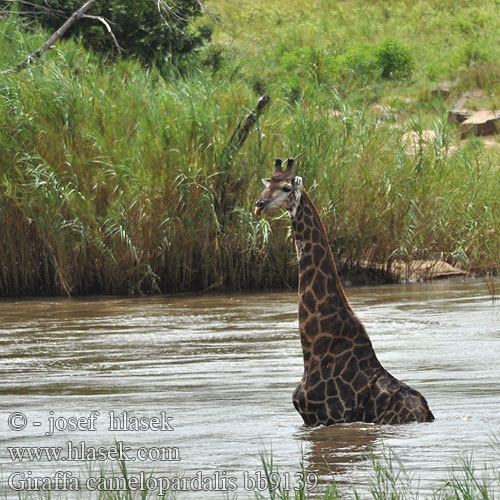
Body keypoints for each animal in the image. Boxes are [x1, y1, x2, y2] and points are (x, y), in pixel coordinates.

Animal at [254, 157, 434, 426]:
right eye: (268, 184)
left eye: (286, 188)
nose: (260, 205)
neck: (312, 349)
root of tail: (427, 414)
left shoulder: (325, 418)